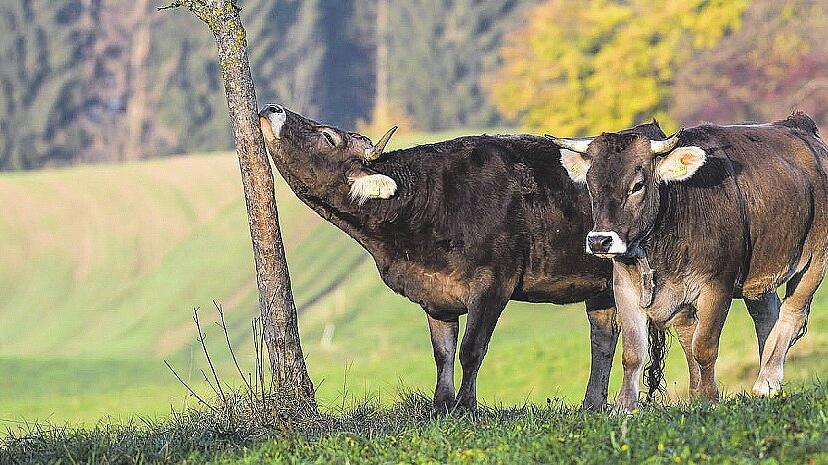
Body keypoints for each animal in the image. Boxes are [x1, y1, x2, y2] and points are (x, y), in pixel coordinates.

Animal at [548, 113, 828, 410]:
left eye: (637, 185)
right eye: (591, 186)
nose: (600, 240)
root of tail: (798, 124)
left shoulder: (718, 286)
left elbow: (703, 347)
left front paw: (707, 397)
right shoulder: (624, 287)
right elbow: (634, 353)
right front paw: (625, 406)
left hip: (815, 260)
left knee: (792, 315)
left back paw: (766, 381)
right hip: (759, 273)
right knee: (766, 315)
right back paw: (768, 378)